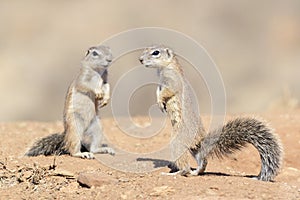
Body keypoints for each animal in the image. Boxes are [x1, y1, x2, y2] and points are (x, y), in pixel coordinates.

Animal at [139, 45, 282, 181]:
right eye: (146, 49)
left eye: (156, 52)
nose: (140, 59)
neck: (165, 68)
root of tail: (201, 140)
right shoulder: (160, 83)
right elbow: (158, 90)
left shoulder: (171, 81)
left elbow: (166, 92)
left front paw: (160, 102)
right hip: (194, 150)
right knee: (202, 161)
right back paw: (195, 171)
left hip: (177, 141)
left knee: (185, 166)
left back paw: (177, 173)